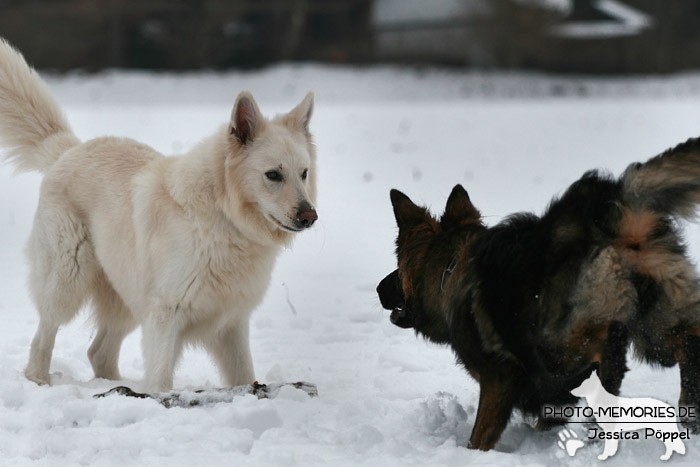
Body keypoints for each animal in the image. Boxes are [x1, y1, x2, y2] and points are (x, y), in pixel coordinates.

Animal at [0, 39, 318, 392]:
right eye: (273, 175)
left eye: (303, 173)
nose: (310, 216)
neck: (223, 217)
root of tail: (68, 150)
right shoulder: (167, 314)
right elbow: (161, 380)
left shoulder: (232, 323)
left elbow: (244, 375)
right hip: (66, 281)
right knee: (43, 338)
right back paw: (40, 381)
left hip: (125, 298)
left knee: (99, 352)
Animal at [380, 139, 700, 454]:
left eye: (397, 269)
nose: (379, 289)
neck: (450, 270)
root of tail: (608, 206)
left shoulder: (498, 378)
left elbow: (480, 434)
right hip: (656, 322)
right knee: (687, 341)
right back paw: (687, 412)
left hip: (557, 345)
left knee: (605, 351)